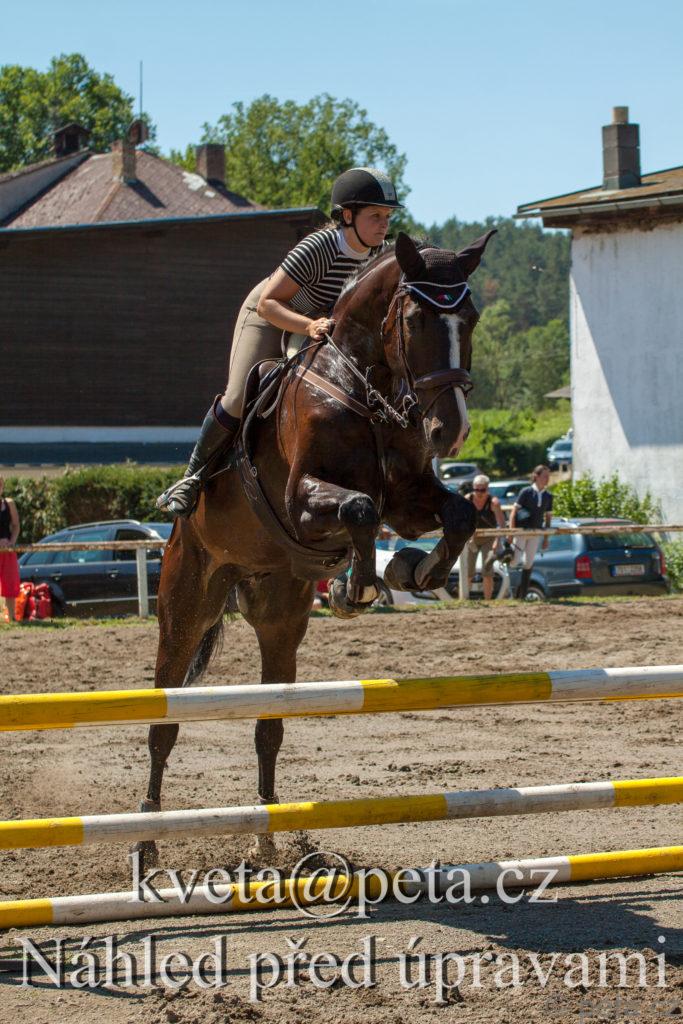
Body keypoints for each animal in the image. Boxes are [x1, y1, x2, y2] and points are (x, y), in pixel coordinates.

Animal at [136, 229, 495, 868]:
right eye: (414, 318)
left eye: (470, 318)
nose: (449, 432)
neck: (367, 391)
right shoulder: (302, 501)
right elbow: (359, 510)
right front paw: (360, 588)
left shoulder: (408, 496)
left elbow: (456, 514)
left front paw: (415, 571)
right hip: (186, 604)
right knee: (164, 724)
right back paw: (150, 847)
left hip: (280, 620)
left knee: (268, 729)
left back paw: (267, 843)